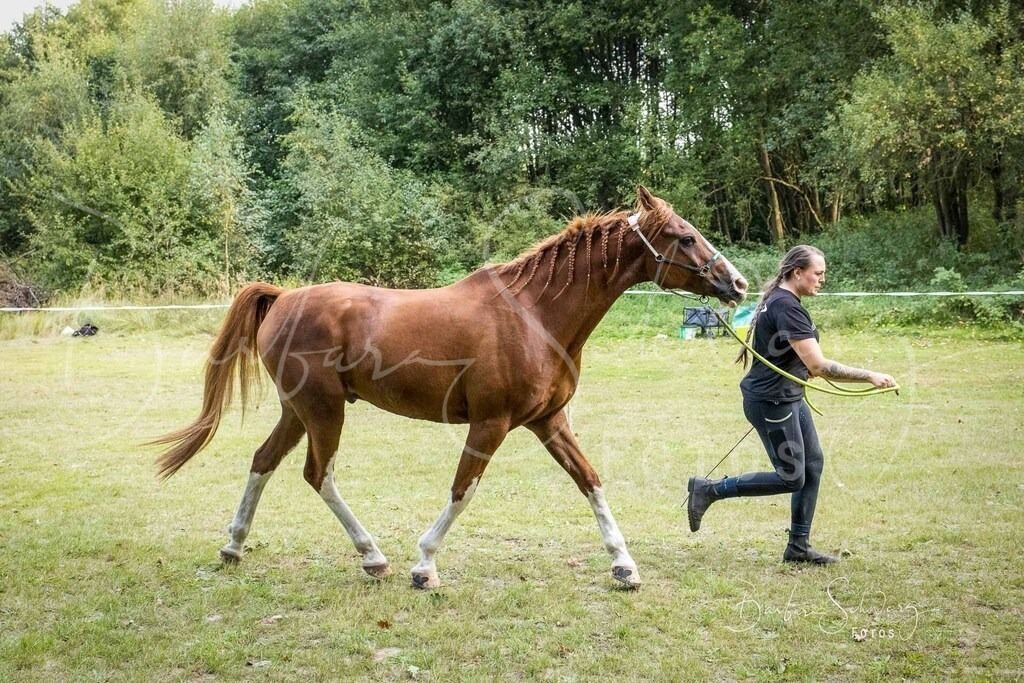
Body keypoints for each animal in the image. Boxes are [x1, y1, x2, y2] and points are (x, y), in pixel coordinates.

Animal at [152, 186, 748, 589]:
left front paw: (624, 565)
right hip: (323, 411)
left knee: (263, 461)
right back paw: (374, 557)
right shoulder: (492, 423)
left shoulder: (548, 421)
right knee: (317, 475)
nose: (738, 284)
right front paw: (424, 564)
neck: (535, 315)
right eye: (686, 237)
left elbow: (590, 481)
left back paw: (234, 546)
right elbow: (463, 490)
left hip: (298, 411)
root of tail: (283, 298)